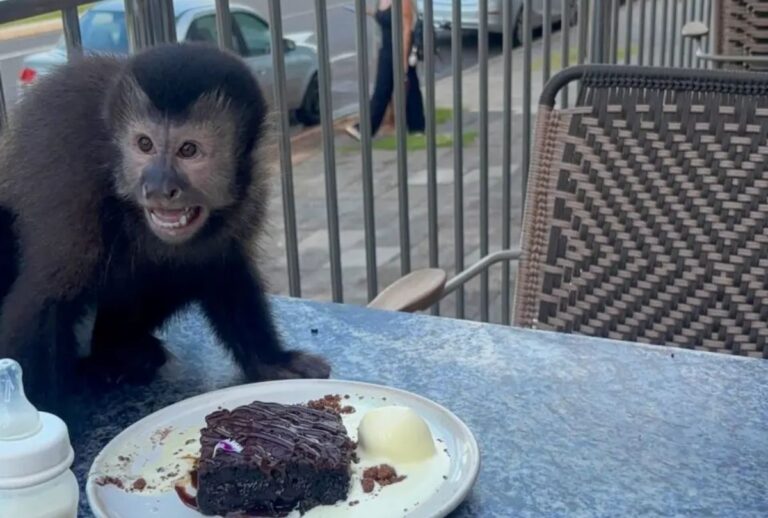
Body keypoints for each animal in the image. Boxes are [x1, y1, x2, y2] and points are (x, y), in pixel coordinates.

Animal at [0, 43, 331, 412]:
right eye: (145, 144)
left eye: (188, 150)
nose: (158, 187)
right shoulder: (72, 180)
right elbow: (46, 297)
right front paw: (43, 412)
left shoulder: (253, 184)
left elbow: (223, 266)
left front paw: (271, 360)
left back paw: (119, 351)